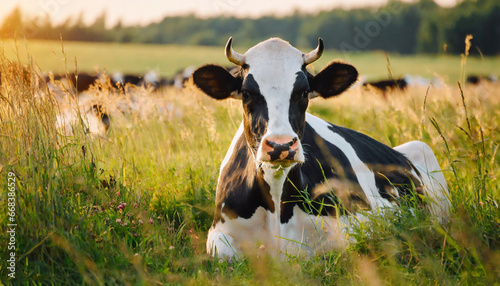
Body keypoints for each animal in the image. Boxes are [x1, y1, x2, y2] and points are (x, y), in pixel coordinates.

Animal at [190, 37, 450, 260]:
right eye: (246, 92)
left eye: (304, 92)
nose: (281, 145)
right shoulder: (219, 231)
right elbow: (224, 253)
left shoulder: (360, 221)